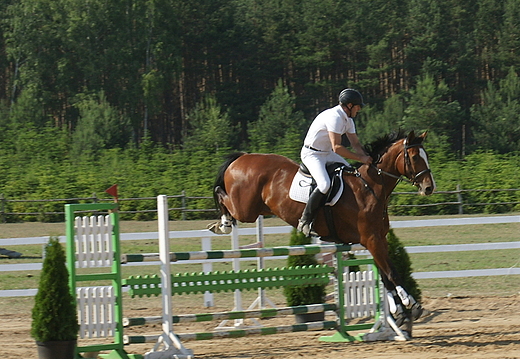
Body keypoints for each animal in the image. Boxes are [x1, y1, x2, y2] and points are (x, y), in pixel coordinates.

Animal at [207, 131, 434, 336]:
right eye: (415, 157)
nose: (429, 188)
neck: (369, 188)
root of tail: (242, 157)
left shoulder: (377, 241)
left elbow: (386, 275)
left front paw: (402, 312)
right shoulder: (371, 240)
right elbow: (392, 273)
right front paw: (410, 304)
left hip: (255, 209)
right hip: (246, 210)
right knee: (221, 193)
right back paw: (223, 224)